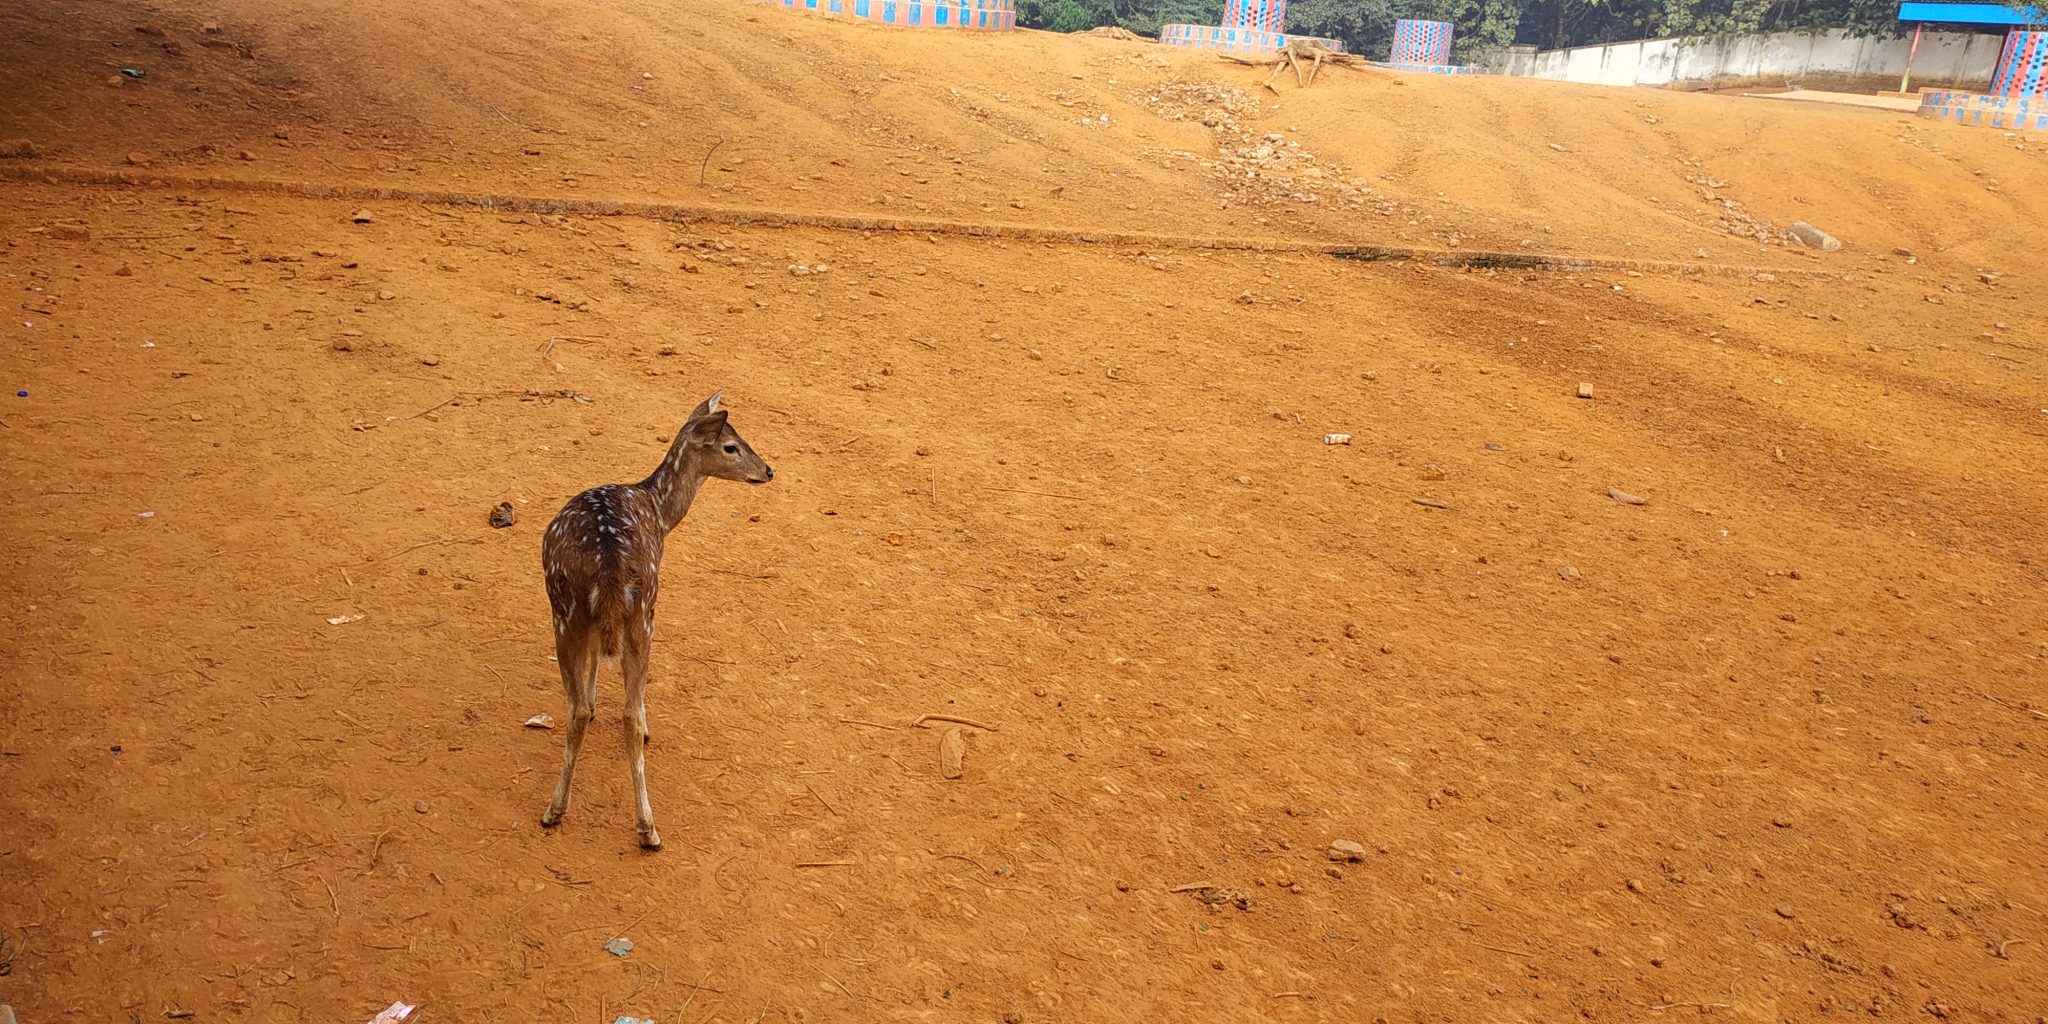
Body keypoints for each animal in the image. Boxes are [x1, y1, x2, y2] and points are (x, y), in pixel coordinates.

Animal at [538, 390, 773, 849]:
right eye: (730, 446)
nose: (768, 470)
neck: (660, 513)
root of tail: (609, 568)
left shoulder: (596, 624)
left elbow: (594, 670)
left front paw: (595, 698)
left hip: (571, 611)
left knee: (578, 710)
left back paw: (560, 809)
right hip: (639, 611)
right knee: (623, 714)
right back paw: (645, 828)